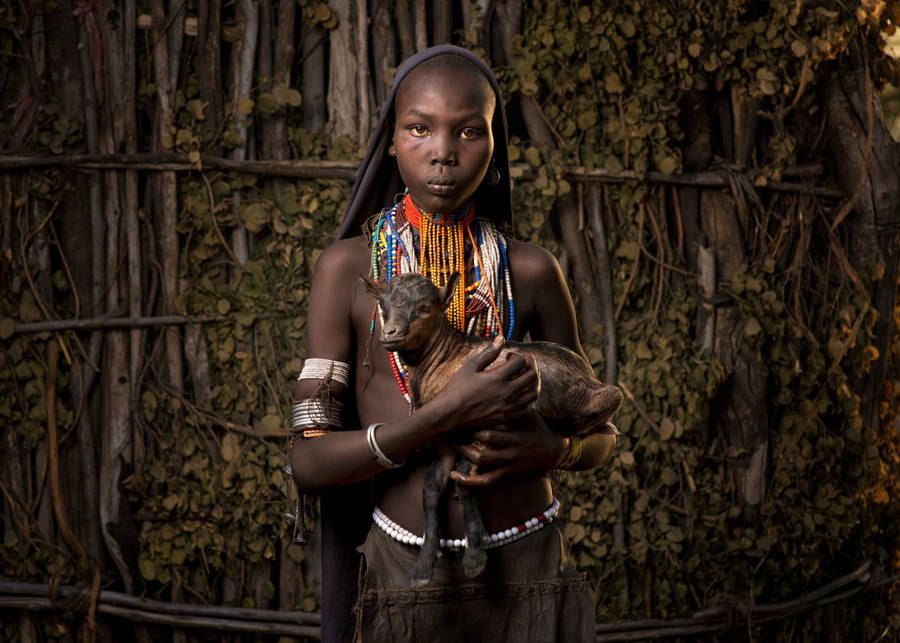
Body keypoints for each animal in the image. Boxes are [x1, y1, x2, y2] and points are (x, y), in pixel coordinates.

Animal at [362, 271, 622, 588]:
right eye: (382, 304)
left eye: (425, 307)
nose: (391, 333)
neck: (446, 360)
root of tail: (586, 370)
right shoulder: (444, 437)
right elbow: (431, 488)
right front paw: (423, 568)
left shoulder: (493, 422)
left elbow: (463, 479)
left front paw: (475, 556)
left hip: (600, 396)